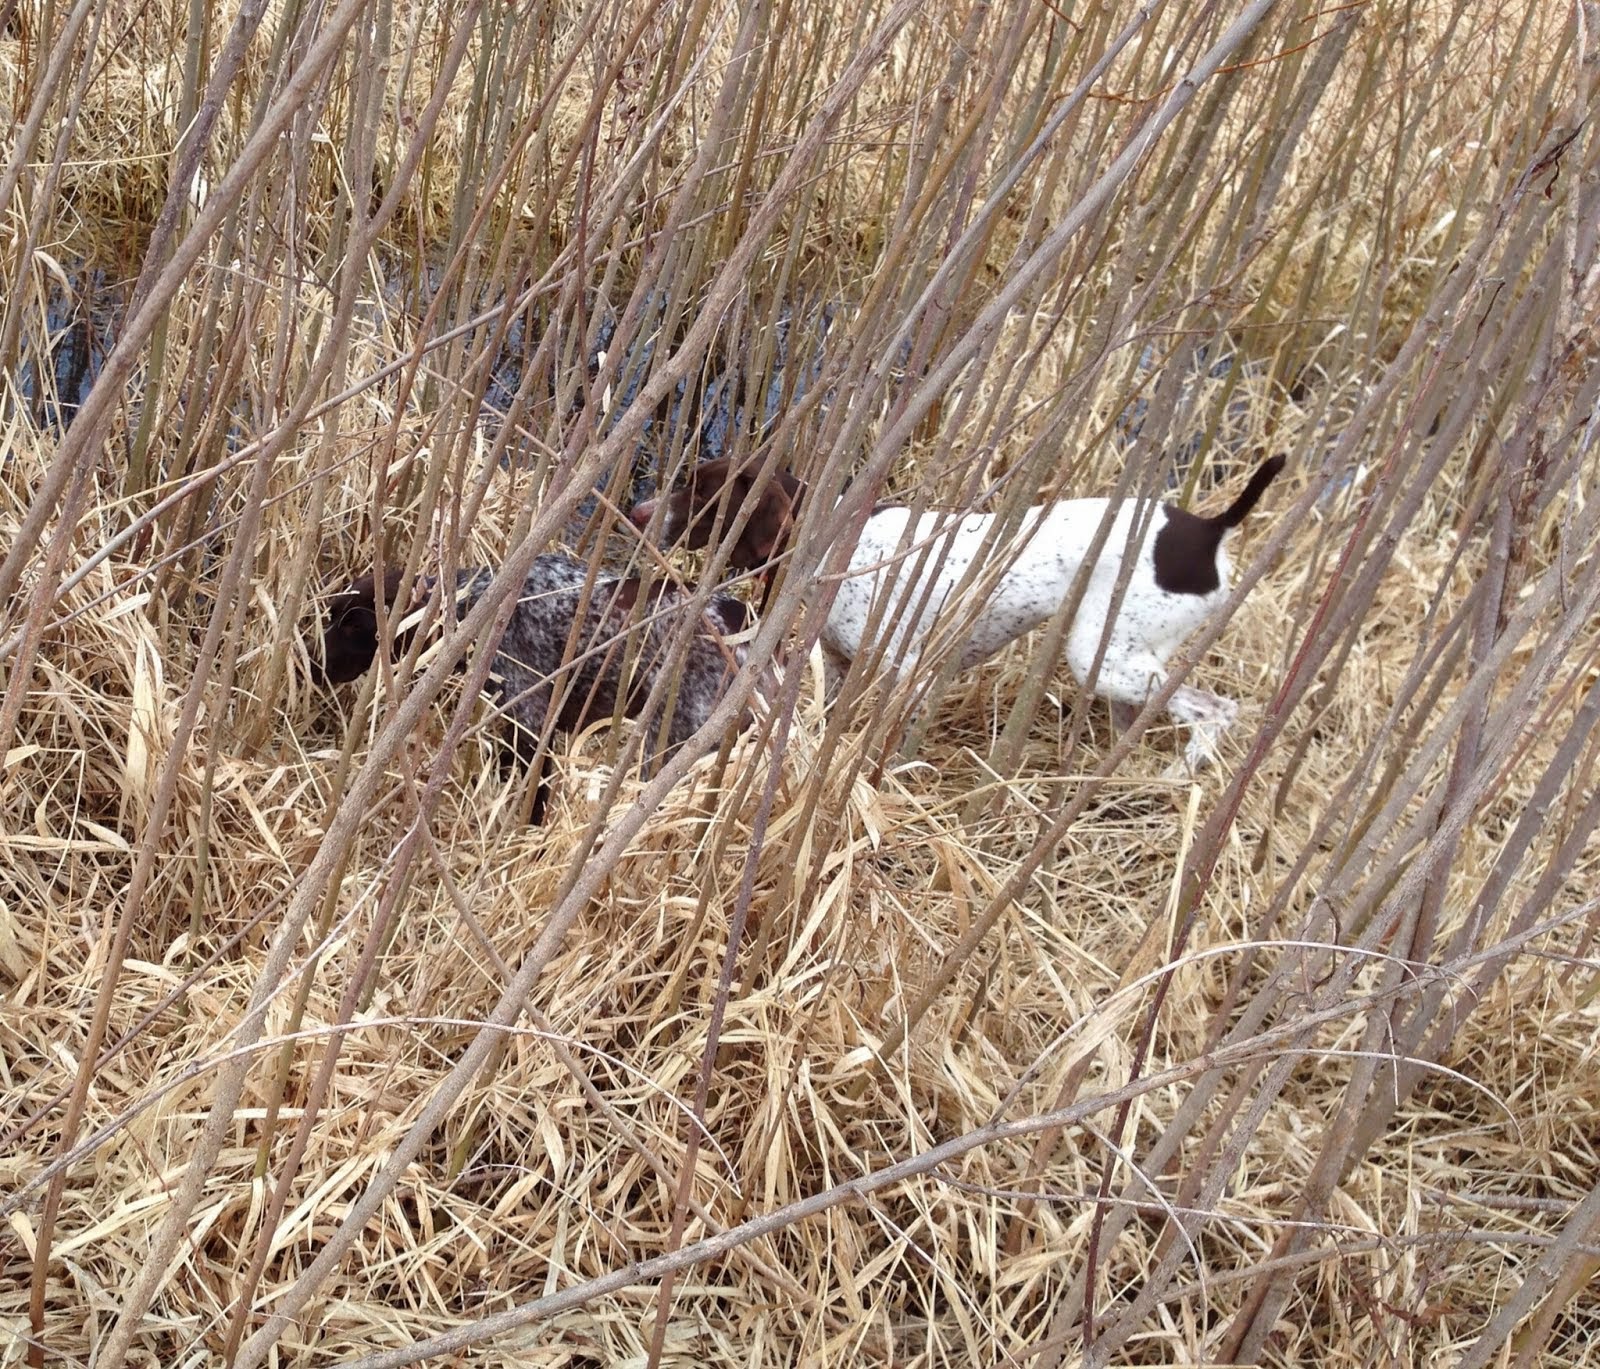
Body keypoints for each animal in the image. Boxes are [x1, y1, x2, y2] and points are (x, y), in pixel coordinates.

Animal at [627, 457, 1286, 770]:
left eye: (701, 492)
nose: (637, 512)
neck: (836, 544)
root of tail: (1208, 530)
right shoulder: (839, 665)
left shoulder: (908, 672)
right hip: (1114, 660)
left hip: (1106, 658)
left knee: (1217, 712)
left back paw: (1181, 777)